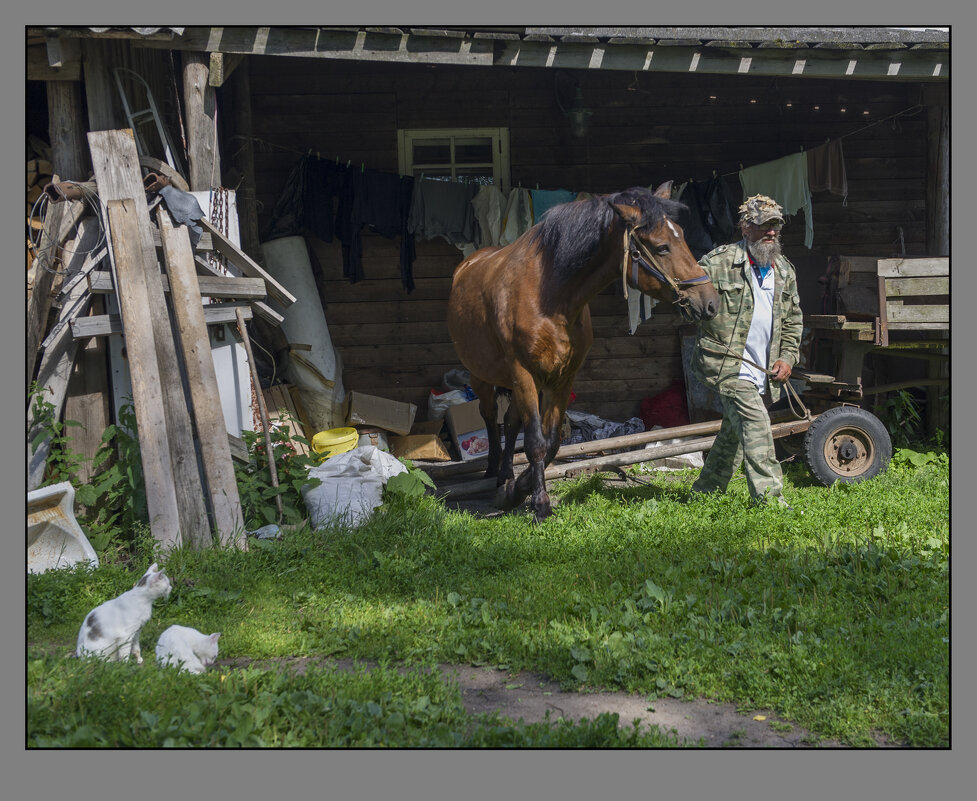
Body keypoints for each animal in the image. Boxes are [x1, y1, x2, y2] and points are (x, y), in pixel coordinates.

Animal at [448, 183, 716, 520]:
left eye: (681, 235)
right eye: (662, 247)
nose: (710, 301)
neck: (549, 296)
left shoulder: (562, 378)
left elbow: (551, 442)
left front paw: (517, 490)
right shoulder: (524, 374)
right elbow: (535, 442)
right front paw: (539, 505)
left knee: (510, 423)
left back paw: (505, 479)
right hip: (483, 376)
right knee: (489, 417)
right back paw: (492, 473)